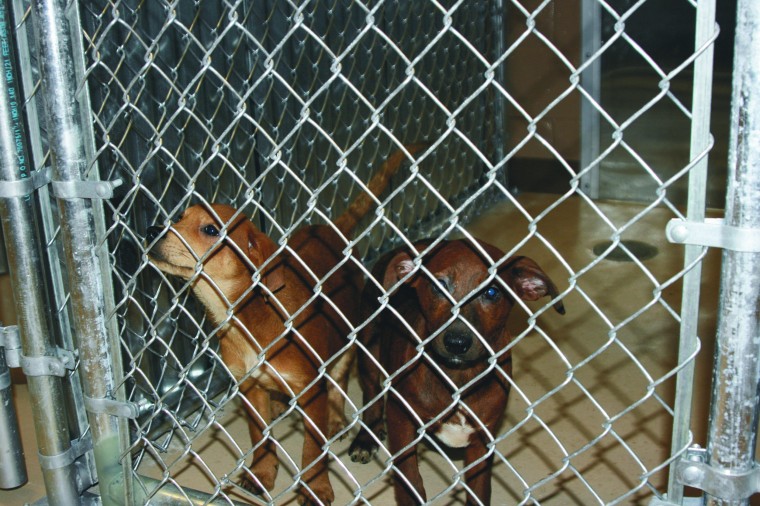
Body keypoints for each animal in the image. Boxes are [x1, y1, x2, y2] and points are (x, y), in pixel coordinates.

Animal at [145, 144, 425, 504]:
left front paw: (316, 488)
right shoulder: (248, 388)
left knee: (339, 376)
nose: (151, 230)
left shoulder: (310, 388)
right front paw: (261, 474)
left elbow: (312, 449)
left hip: (348, 335)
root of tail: (330, 230)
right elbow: (260, 438)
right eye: (180, 217)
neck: (246, 315)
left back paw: (335, 417)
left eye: (210, 230)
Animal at [348, 238, 565, 505]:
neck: (457, 378)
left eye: (491, 292)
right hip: (368, 343)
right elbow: (410, 480)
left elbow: (479, 488)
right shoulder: (402, 419)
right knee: (371, 392)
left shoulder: (483, 440)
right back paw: (366, 437)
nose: (456, 343)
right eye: (438, 286)